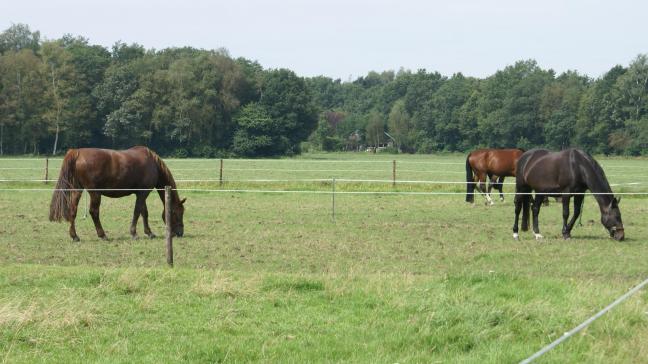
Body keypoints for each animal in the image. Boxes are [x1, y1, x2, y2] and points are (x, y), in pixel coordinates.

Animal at [48, 145, 184, 242]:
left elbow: (144, 212)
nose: (180, 233)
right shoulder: (143, 193)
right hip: (95, 193)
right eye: (177, 212)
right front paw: (134, 233)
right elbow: (138, 212)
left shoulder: (141, 194)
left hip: (77, 190)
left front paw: (149, 233)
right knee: (94, 212)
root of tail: (77, 152)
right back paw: (102, 235)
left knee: (73, 210)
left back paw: (75, 236)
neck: (152, 163)